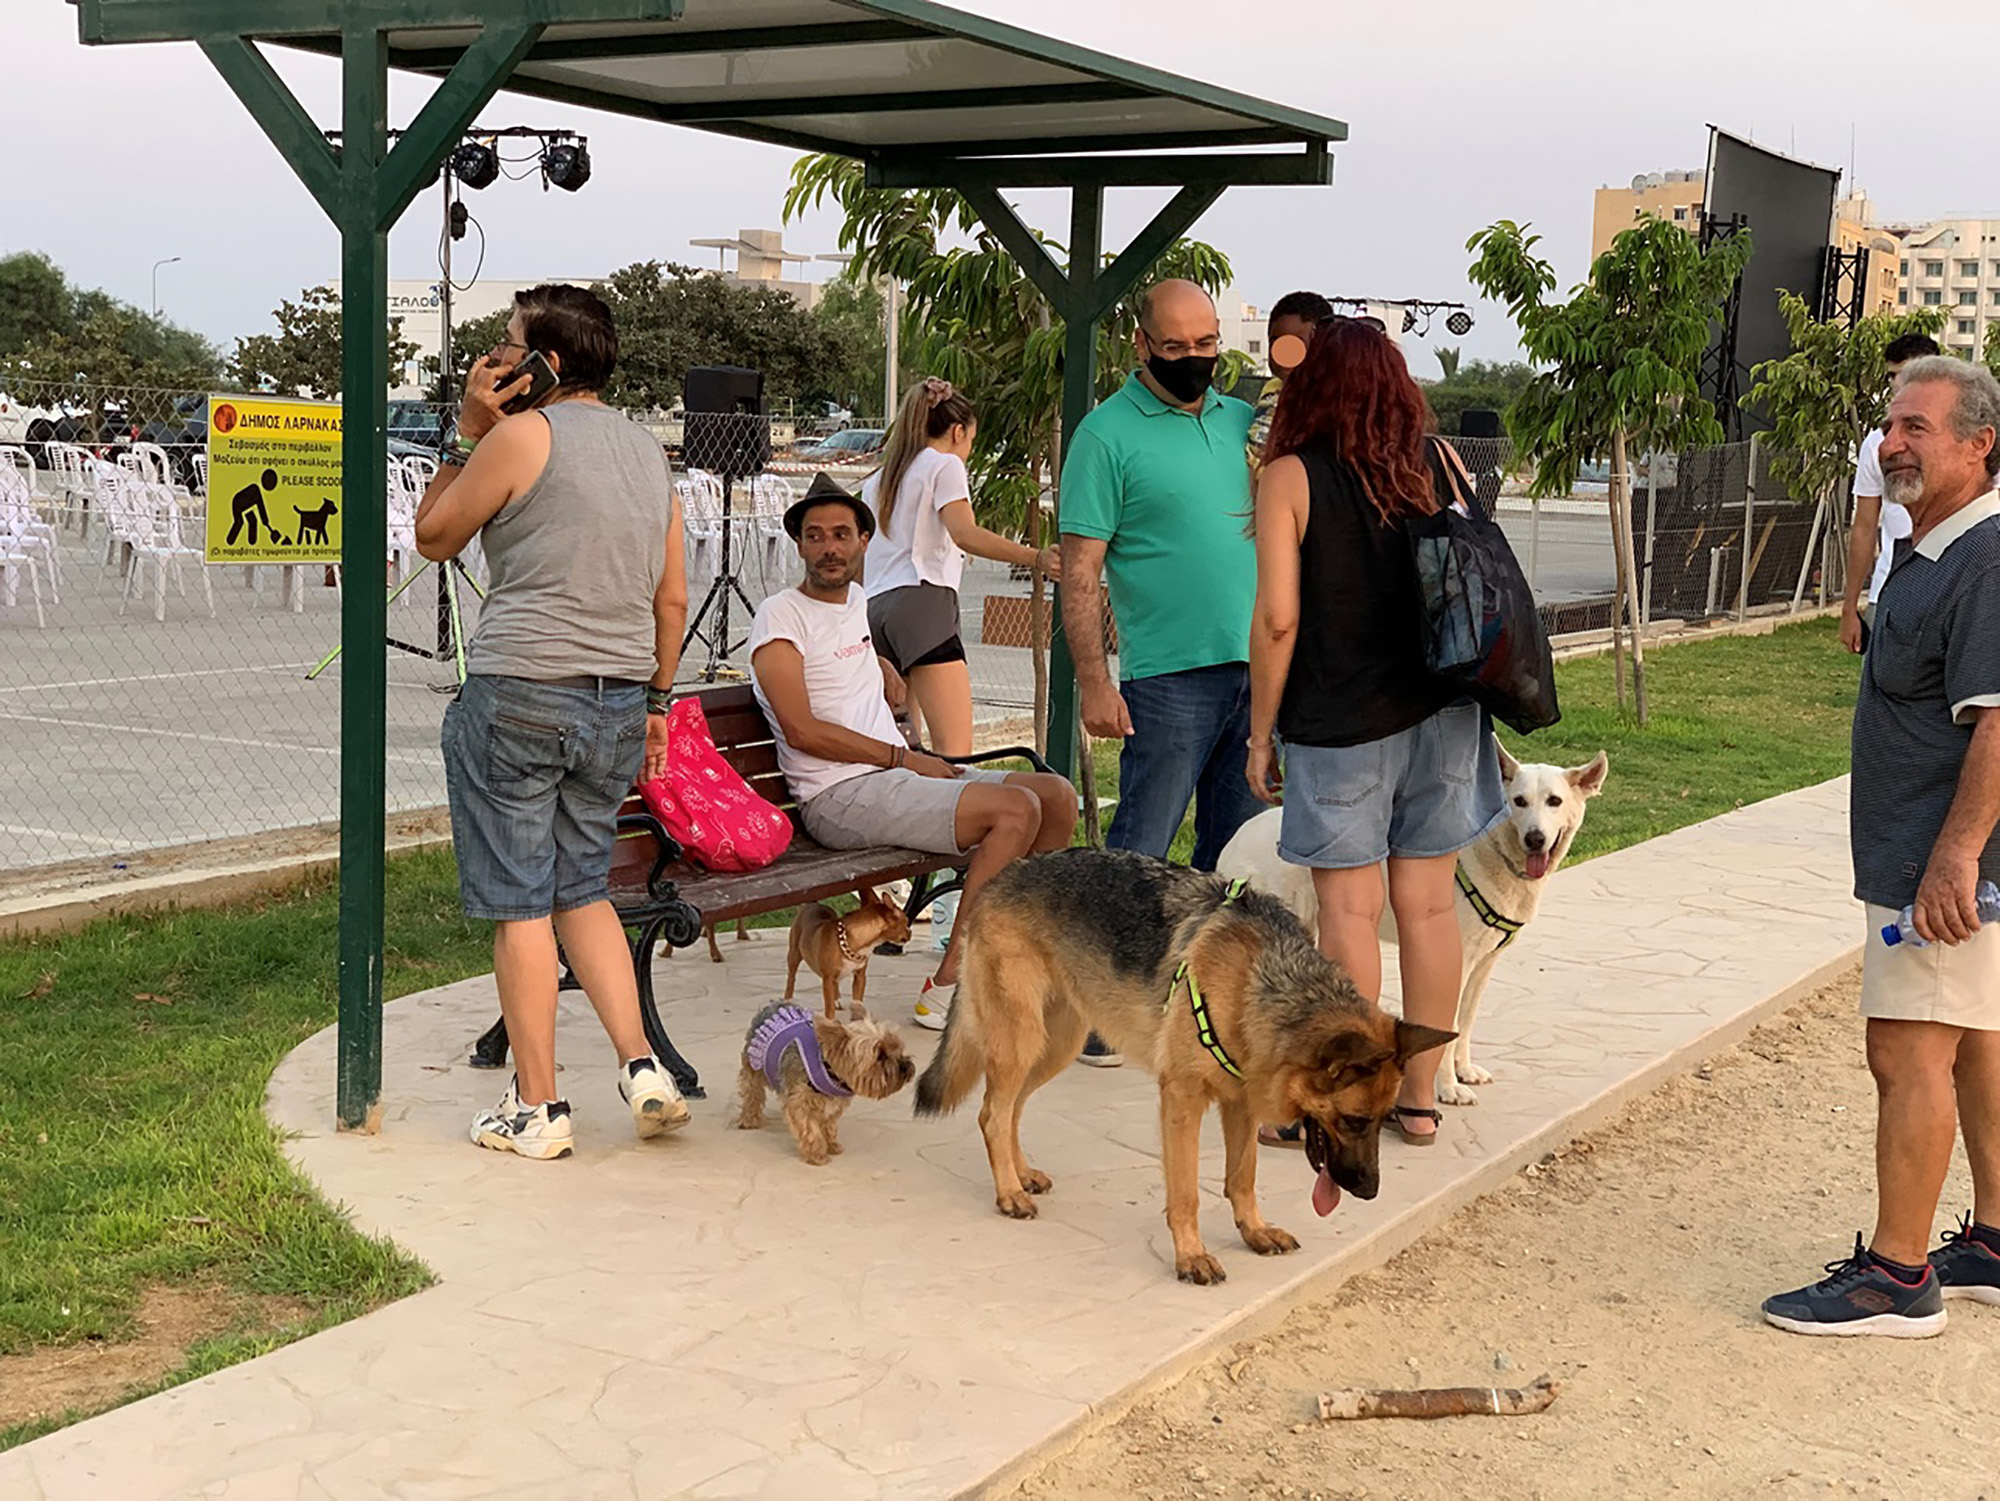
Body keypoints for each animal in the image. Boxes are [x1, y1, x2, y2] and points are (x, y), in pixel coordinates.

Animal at [912, 852, 1456, 1288]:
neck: (1259, 978)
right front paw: (1192, 1256)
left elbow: (1243, 1176)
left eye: (1382, 1118)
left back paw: (1021, 1174)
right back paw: (1008, 1192)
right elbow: (1188, 1193)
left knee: (1011, 1110)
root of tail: (999, 876)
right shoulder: (1182, 1098)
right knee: (992, 1113)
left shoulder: (1239, 1102)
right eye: (1354, 1121)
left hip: (1054, 1045)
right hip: (1023, 1041)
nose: (1369, 1192)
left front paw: (1254, 1231)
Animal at [1216, 748, 1608, 1112]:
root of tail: (1235, 838)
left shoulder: (1484, 963)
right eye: (1520, 801)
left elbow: (1466, 1022)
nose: (1535, 839)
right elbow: (1450, 1028)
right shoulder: (1459, 962)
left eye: (1554, 801)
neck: (1496, 851)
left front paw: (1464, 1071)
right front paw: (1448, 1088)